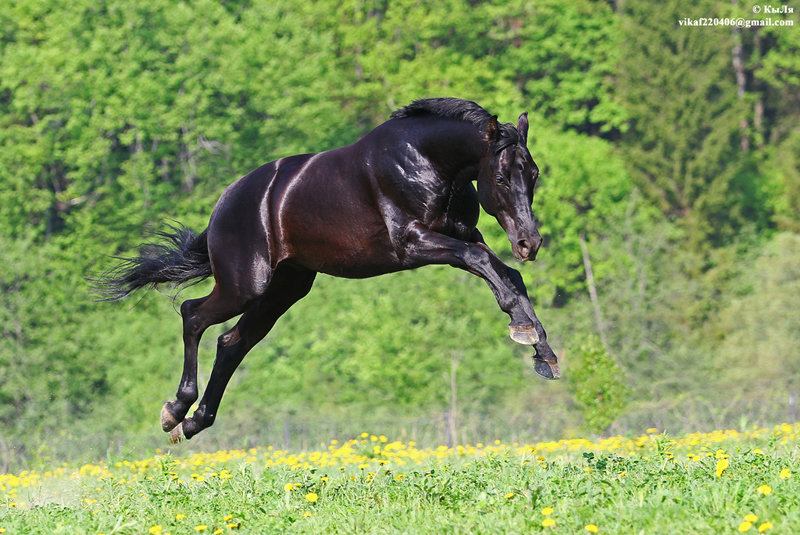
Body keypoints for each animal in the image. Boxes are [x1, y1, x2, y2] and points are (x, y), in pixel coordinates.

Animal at [100, 97, 560, 444]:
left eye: (534, 173)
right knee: (193, 315)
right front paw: (524, 331)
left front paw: (544, 353)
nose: (529, 243)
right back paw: (175, 410)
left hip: (284, 289)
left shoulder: (465, 235)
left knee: (231, 342)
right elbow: (485, 266)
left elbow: (508, 276)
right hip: (245, 284)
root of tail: (223, 205)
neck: (425, 161)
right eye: (501, 176)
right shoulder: (414, 243)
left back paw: (195, 421)